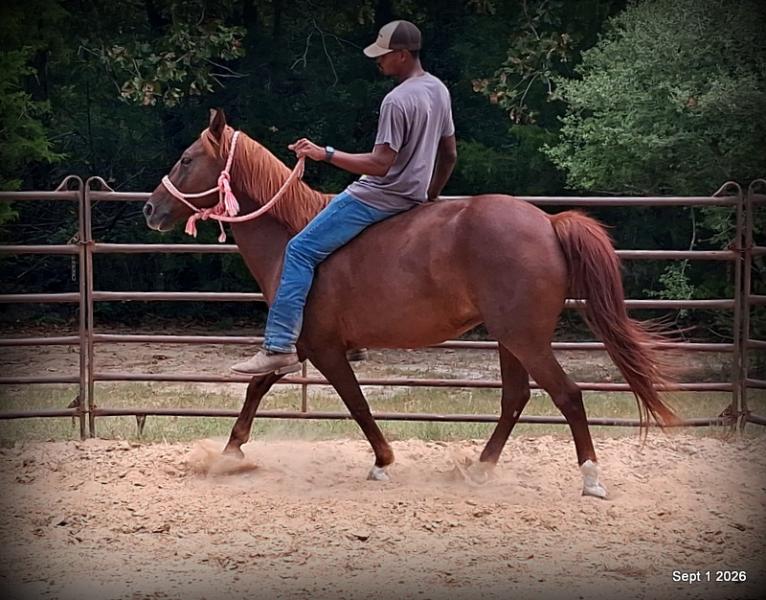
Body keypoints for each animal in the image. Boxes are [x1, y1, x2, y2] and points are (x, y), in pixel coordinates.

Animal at [143, 109, 679, 498]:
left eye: (187, 159)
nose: (150, 208)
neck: (292, 234)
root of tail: (548, 223)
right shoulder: (302, 345)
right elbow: (258, 386)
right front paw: (230, 453)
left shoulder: (323, 348)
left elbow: (356, 403)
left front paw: (383, 461)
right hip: (511, 339)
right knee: (515, 399)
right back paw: (480, 469)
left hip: (525, 338)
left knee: (567, 395)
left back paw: (590, 478)